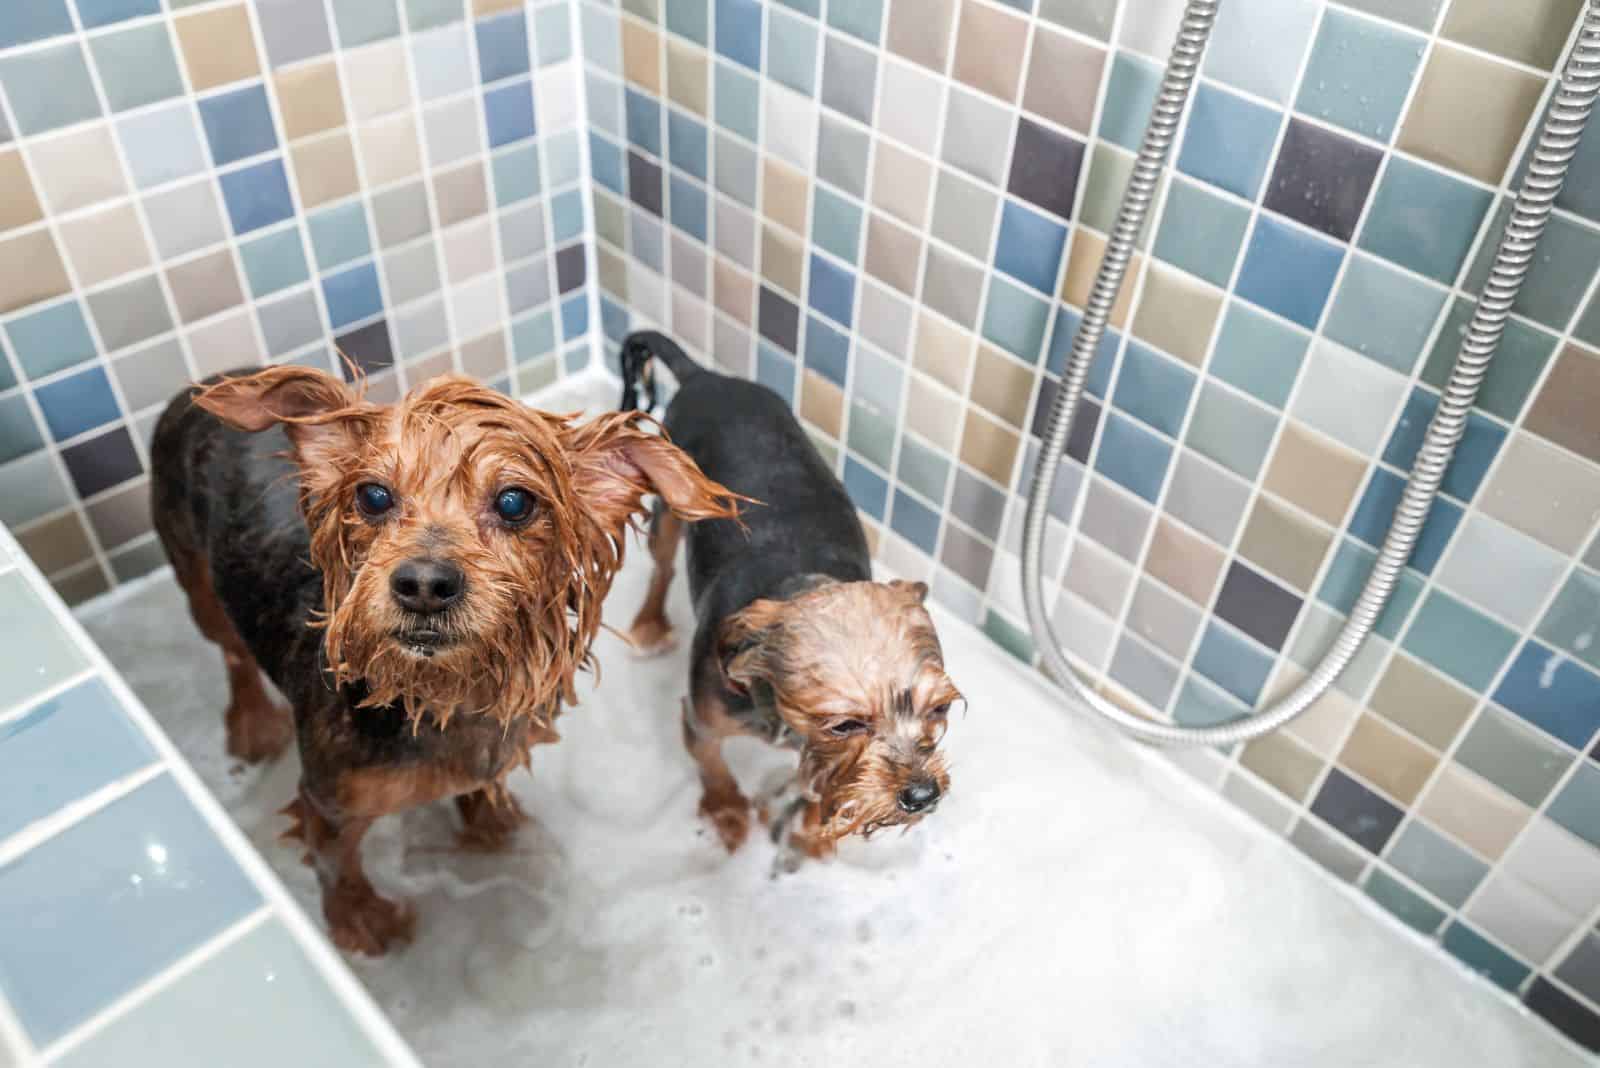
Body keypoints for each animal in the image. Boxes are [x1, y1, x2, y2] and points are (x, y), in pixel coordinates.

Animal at [152, 367, 739, 952]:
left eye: (514, 503)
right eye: (373, 496)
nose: (425, 585)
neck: (435, 692)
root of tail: (202, 385)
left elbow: (479, 790)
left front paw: (495, 827)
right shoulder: (329, 803)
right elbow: (338, 867)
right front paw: (359, 921)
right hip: (197, 580)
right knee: (232, 654)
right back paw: (252, 725)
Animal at [614, 334, 960, 869]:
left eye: (939, 708)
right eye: (845, 724)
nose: (922, 795)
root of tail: (705, 376)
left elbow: (825, 785)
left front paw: (813, 832)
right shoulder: (702, 721)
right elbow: (714, 769)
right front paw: (728, 816)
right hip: (672, 507)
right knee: (662, 567)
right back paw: (650, 625)